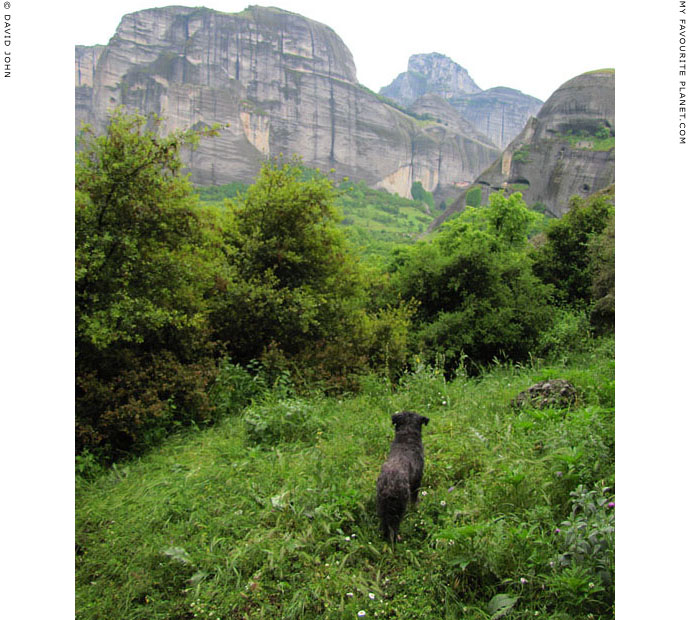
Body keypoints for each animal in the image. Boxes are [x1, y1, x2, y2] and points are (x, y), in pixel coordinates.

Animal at [374, 412, 428, 544]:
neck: (407, 437)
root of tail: (389, 486)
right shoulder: (417, 480)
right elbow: (414, 500)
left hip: (382, 507)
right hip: (398, 509)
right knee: (393, 529)